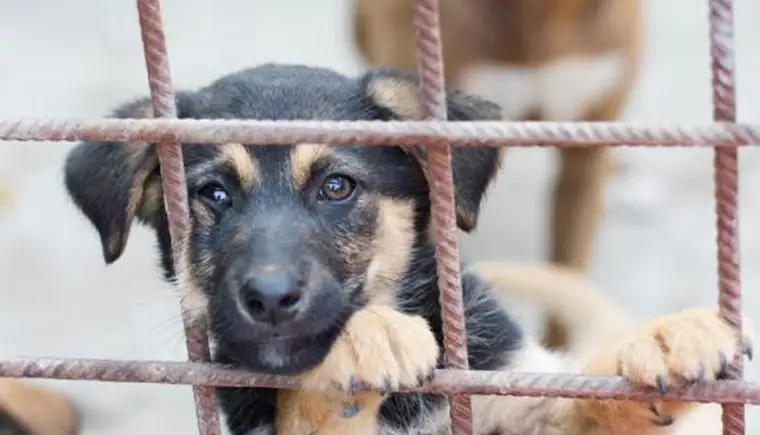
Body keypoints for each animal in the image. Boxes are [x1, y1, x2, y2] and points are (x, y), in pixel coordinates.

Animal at [60, 64, 748, 435]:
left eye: (337, 186)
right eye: (215, 194)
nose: (271, 298)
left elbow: (589, 402)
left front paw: (668, 337)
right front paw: (369, 338)